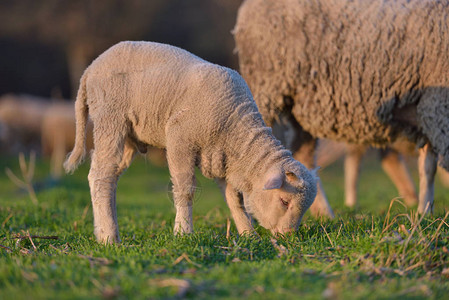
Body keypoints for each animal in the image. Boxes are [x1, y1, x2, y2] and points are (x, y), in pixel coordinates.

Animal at [65, 41, 318, 245]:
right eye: (284, 201)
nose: (288, 236)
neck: (236, 128)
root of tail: (90, 69)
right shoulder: (180, 138)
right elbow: (185, 189)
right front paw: (183, 232)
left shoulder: (223, 158)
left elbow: (234, 199)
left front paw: (248, 234)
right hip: (110, 118)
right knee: (100, 176)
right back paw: (109, 238)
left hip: (128, 135)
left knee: (110, 177)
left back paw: (106, 232)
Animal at [233, 0, 448, 216]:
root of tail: (246, 9)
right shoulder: (436, 107)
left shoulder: (431, 111)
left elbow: (427, 167)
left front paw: (425, 212)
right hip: (265, 87)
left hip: (300, 108)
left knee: (303, 156)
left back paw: (325, 214)